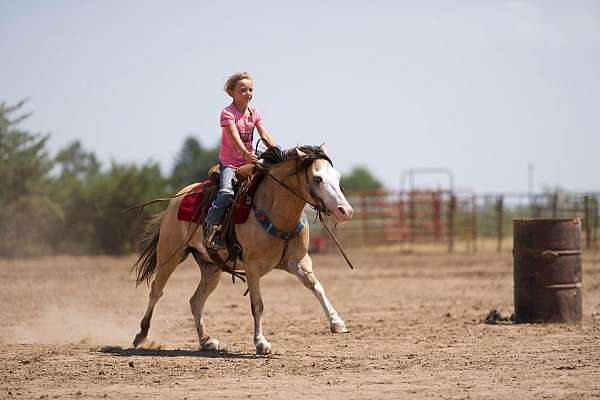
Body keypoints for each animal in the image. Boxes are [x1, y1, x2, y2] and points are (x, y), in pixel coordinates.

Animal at [131, 144, 354, 354]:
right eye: (317, 178)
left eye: (337, 176)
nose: (346, 211)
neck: (276, 210)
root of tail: (177, 197)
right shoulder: (253, 267)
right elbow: (257, 304)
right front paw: (261, 343)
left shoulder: (299, 261)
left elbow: (317, 287)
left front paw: (337, 322)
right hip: (170, 256)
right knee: (156, 292)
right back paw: (141, 336)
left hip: (211, 267)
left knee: (196, 301)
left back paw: (207, 341)